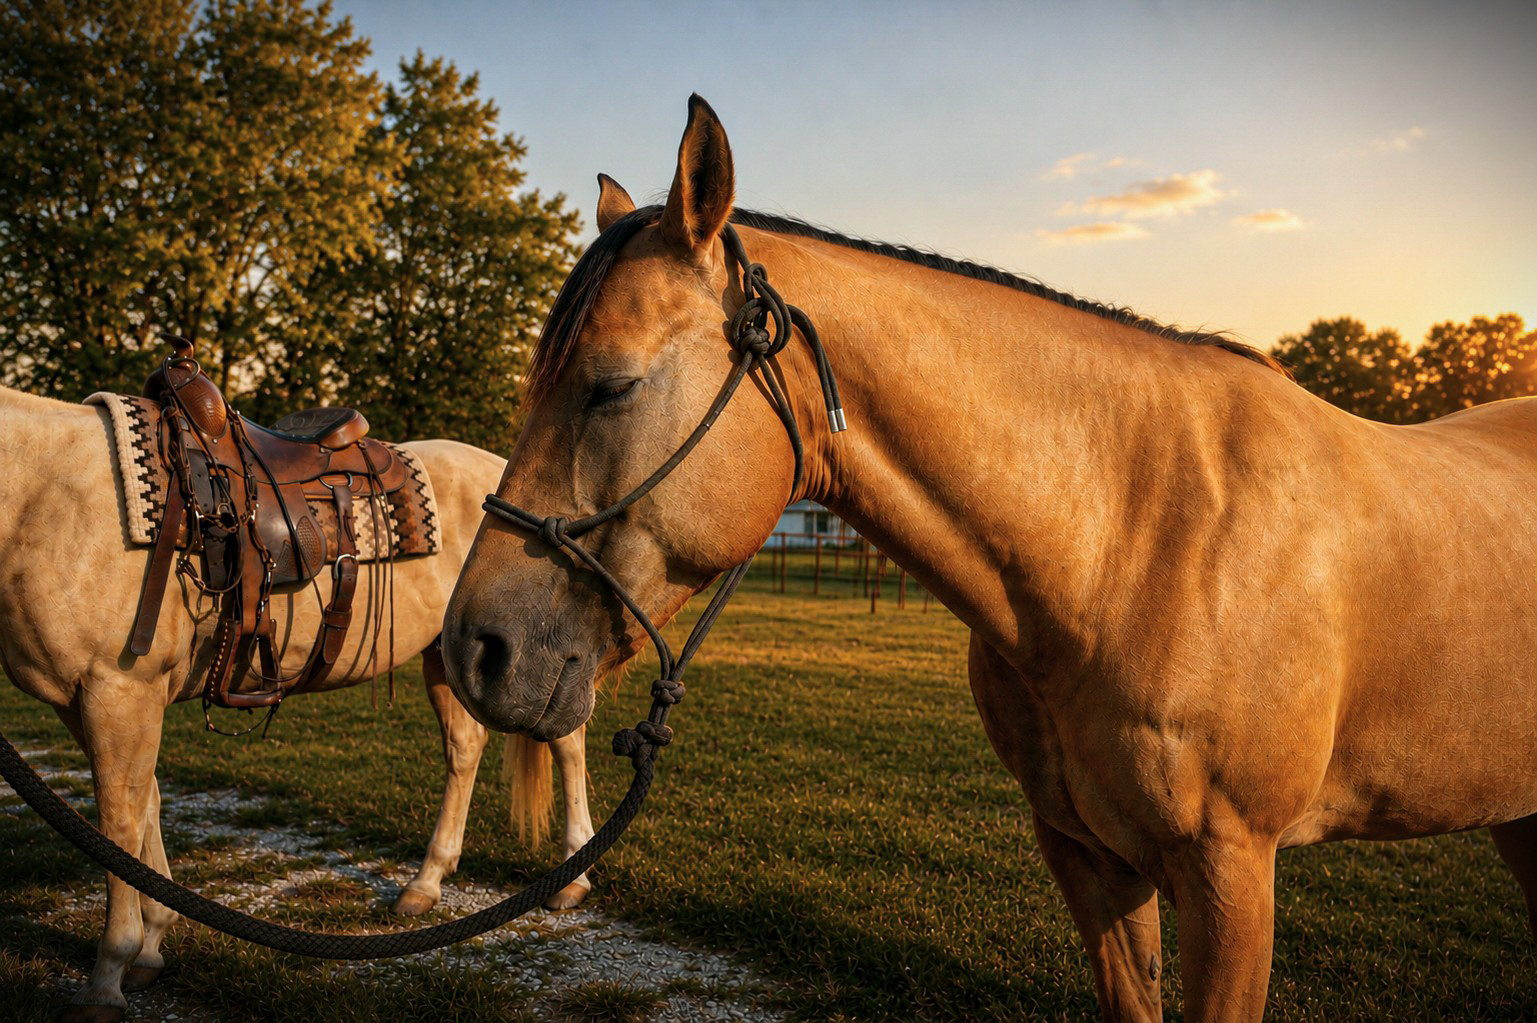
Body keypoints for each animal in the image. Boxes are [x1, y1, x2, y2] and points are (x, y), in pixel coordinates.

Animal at [0, 383, 595, 1023]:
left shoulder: (118, 691)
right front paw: (152, 946)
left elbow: (118, 824)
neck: (45, 492)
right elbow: (146, 808)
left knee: (565, 745)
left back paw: (571, 879)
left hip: (531, 654)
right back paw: (426, 883)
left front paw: (109, 975)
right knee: (465, 749)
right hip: (449, 654)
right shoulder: (87, 702)